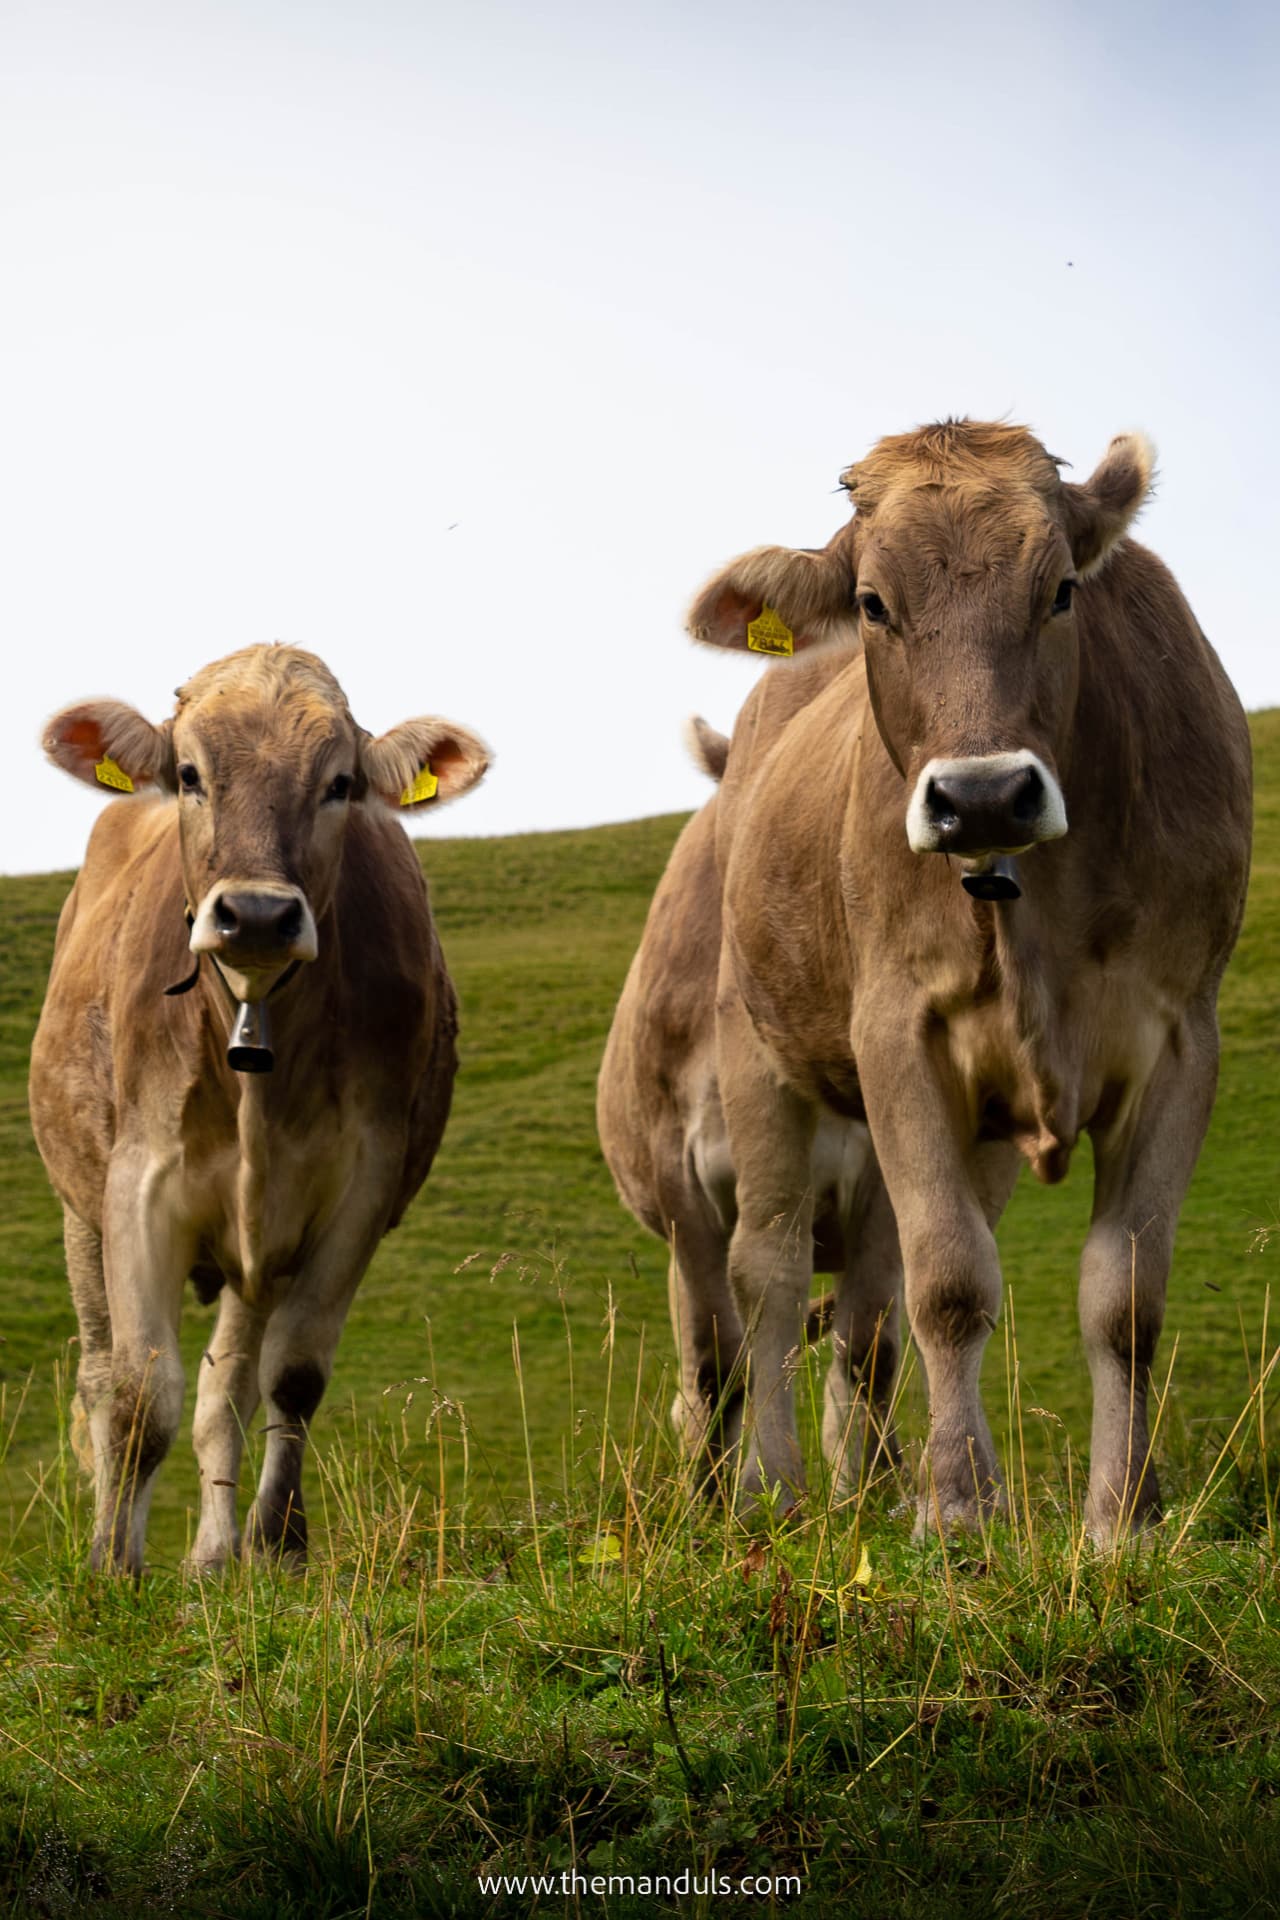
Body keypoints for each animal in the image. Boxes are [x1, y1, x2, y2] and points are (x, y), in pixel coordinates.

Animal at [31, 645, 491, 1574]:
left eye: (340, 783)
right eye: (189, 774)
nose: (257, 914)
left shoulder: (359, 1187)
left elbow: (289, 1376)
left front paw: (276, 1544)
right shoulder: (137, 1186)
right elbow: (140, 1391)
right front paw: (112, 1562)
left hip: (256, 1247)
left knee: (227, 1388)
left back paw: (213, 1554)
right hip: (79, 1206)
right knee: (99, 1375)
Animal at [679, 424, 1251, 1543]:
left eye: (1062, 589)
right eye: (871, 603)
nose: (982, 794)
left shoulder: (1180, 1039)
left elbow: (1123, 1296)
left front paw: (1122, 1516)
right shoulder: (898, 1034)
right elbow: (946, 1280)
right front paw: (954, 1512)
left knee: (862, 1304)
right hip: (755, 1049)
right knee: (768, 1276)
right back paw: (775, 1491)